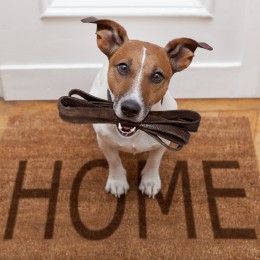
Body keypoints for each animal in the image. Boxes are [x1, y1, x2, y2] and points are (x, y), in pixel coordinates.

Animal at [82, 17, 213, 198]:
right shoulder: (104, 142)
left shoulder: (162, 143)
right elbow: (114, 161)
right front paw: (117, 181)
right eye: (123, 67)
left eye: (157, 76)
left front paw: (149, 181)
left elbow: (153, 161)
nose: (130, 108)